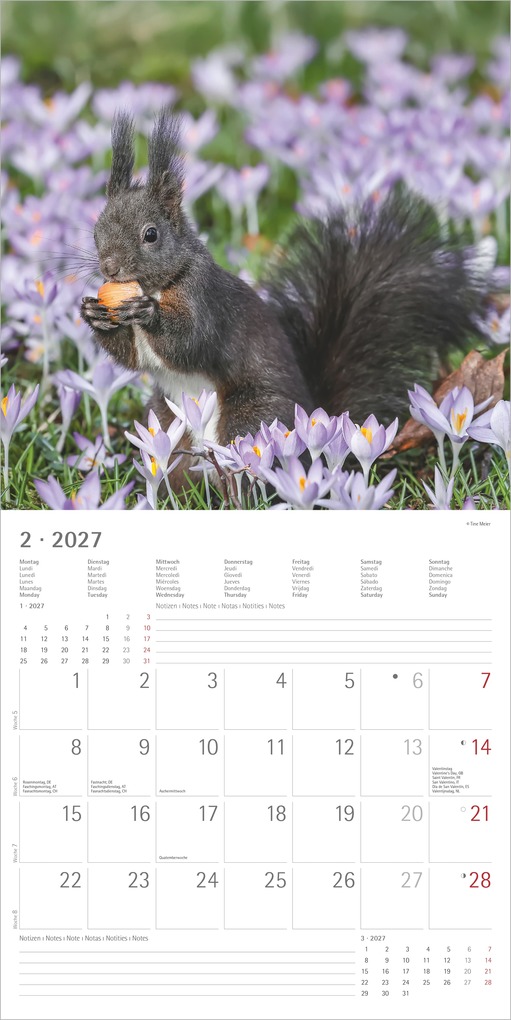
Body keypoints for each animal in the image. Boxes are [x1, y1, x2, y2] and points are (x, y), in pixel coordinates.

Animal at [81, 109, 489, 486]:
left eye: (150, 235)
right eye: (97, 228)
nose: (110, 267)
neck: (155, 285)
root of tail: (311, 411)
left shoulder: (205, 297)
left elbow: (193, 342)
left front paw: (149, 314)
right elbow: (132, 357)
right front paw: (94, 315)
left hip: (251, 420)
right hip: (167, 424)